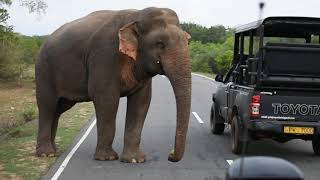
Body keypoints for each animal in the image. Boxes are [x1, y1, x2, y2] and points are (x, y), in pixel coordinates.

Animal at [35, 7, 191, 162]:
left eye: (188, 42)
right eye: (160, 44)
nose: (170, 154)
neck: (136, 16)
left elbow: (141, 101)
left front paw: (134, 160)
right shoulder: (104, 54)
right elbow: (107, 99)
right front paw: (107, 158)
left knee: (58, 109)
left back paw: (53, 151)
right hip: (44, 71)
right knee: (47, 105)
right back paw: (46, 154)